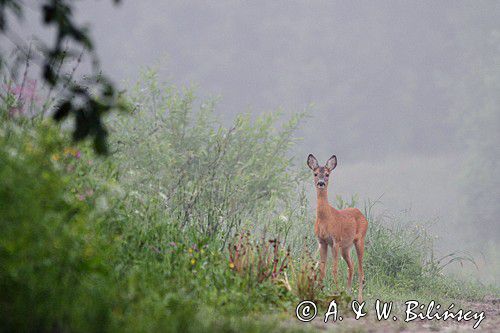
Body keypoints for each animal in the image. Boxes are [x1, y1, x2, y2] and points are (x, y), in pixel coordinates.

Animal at [304, 153, 368, 300]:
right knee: (352, 267)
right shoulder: (322, 241)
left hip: (359, 240)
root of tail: (361, 214)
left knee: (361, 271)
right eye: (315, 173)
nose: (321, 182)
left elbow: (334, 269)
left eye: (327, 174)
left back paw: (359, 299)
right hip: (346, 247)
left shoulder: (335, 240)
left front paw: (336, 292)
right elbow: (322, 269)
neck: (325, 219)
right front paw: (320, 292)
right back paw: (348, 293)